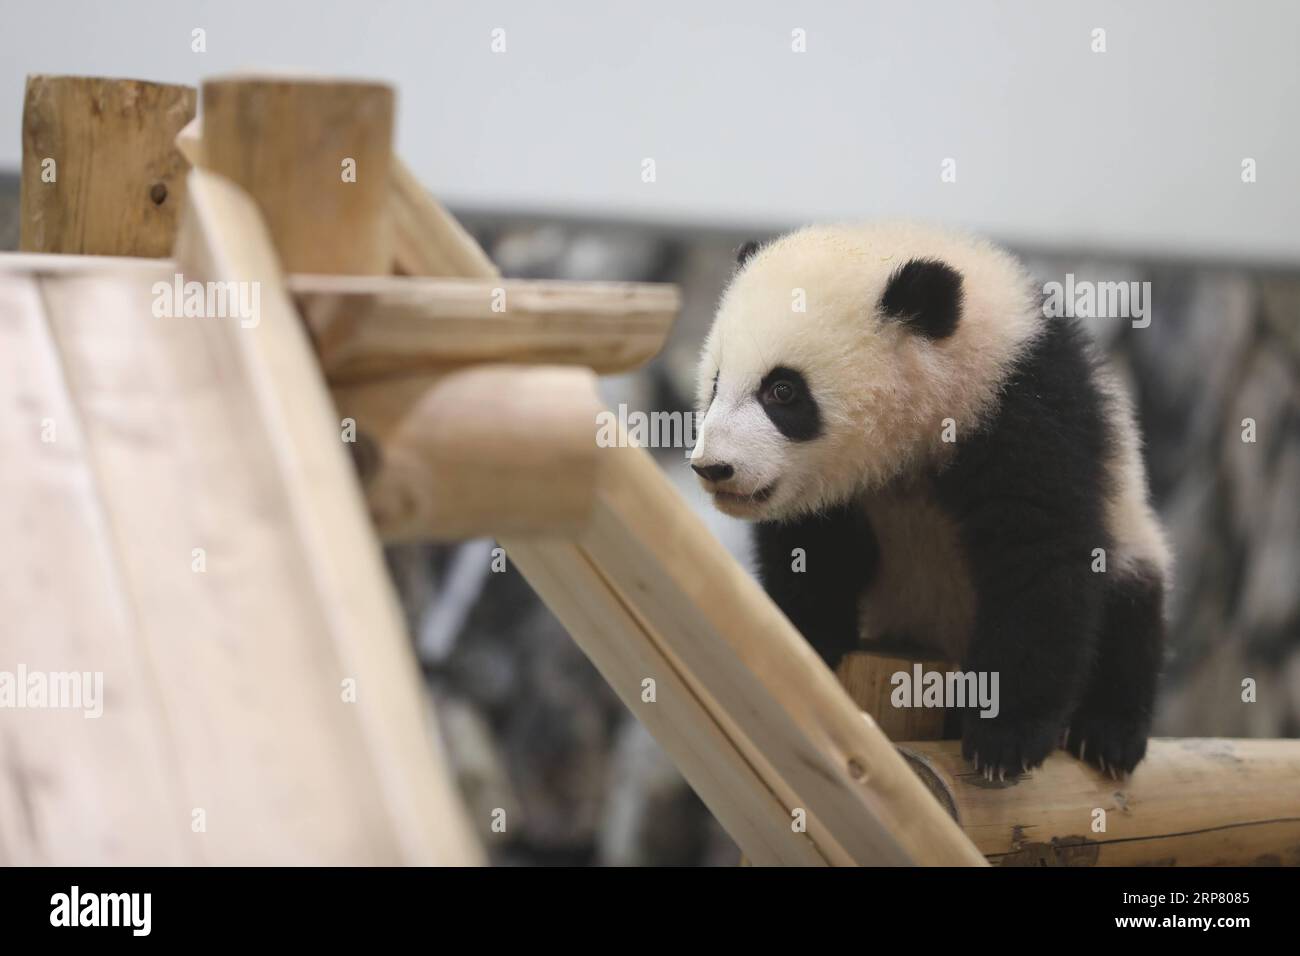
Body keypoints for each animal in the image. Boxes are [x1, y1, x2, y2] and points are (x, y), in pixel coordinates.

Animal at [691, 222, 1171, 779]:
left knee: (1130, 611)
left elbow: (1040, 557)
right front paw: (807, 649)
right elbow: (815, 555)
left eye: (783, 391)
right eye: (716, 383)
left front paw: (1005, 737)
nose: (714, 467)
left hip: (1130, 530)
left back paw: (1107, 734)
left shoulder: (1024, 409)